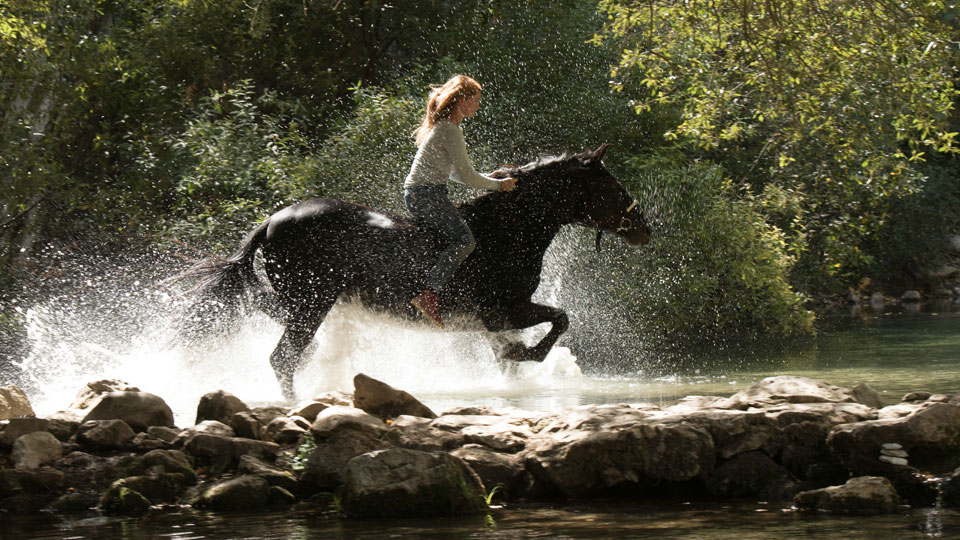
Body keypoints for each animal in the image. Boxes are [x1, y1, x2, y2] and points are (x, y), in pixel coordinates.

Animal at [182, 146, 652, 398]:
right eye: (613, 186)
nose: (644, 229)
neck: (505, 231)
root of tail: (272, 221)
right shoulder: (503, 310)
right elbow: (558, 321)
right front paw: (530, 355)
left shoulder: (495, 320)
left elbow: (514, 358)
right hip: (311, 303)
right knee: (281, 357)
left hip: (306, 302)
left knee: (267, 316)